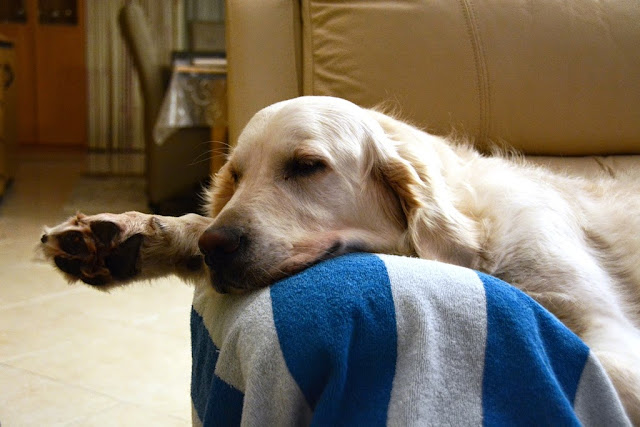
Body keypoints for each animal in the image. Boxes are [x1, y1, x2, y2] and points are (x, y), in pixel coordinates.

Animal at [41, 96, 640, 422]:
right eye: (235, 175)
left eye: (307, 166)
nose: (217, 248)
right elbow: (199, 220)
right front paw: (126, 237)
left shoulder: (609, 336)